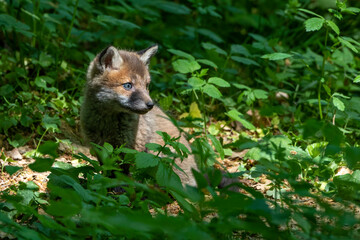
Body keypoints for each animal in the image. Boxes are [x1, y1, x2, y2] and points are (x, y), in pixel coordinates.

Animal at [80, 45, 198, 186]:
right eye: (128, 85)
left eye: (146, 85)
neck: (108, 123)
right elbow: (108, 169)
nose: (150, 104)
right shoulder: (98, 145)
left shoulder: (133, 147)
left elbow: (128, 172)